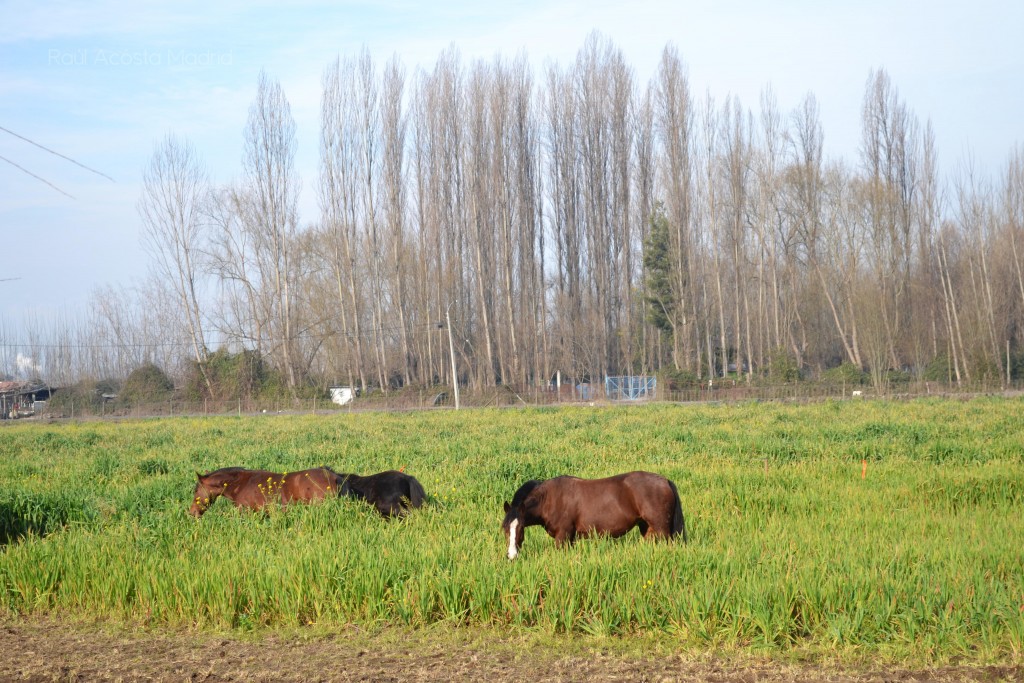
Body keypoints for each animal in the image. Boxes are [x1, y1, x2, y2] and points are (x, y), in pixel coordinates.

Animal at [499, 471, 684, 561]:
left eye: (520, 528)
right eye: (505, 530)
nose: (511, 556)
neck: (550, 499)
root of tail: (665, 481)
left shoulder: (562, 536)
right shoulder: (570, 538)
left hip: (662, 530)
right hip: (647, 528)